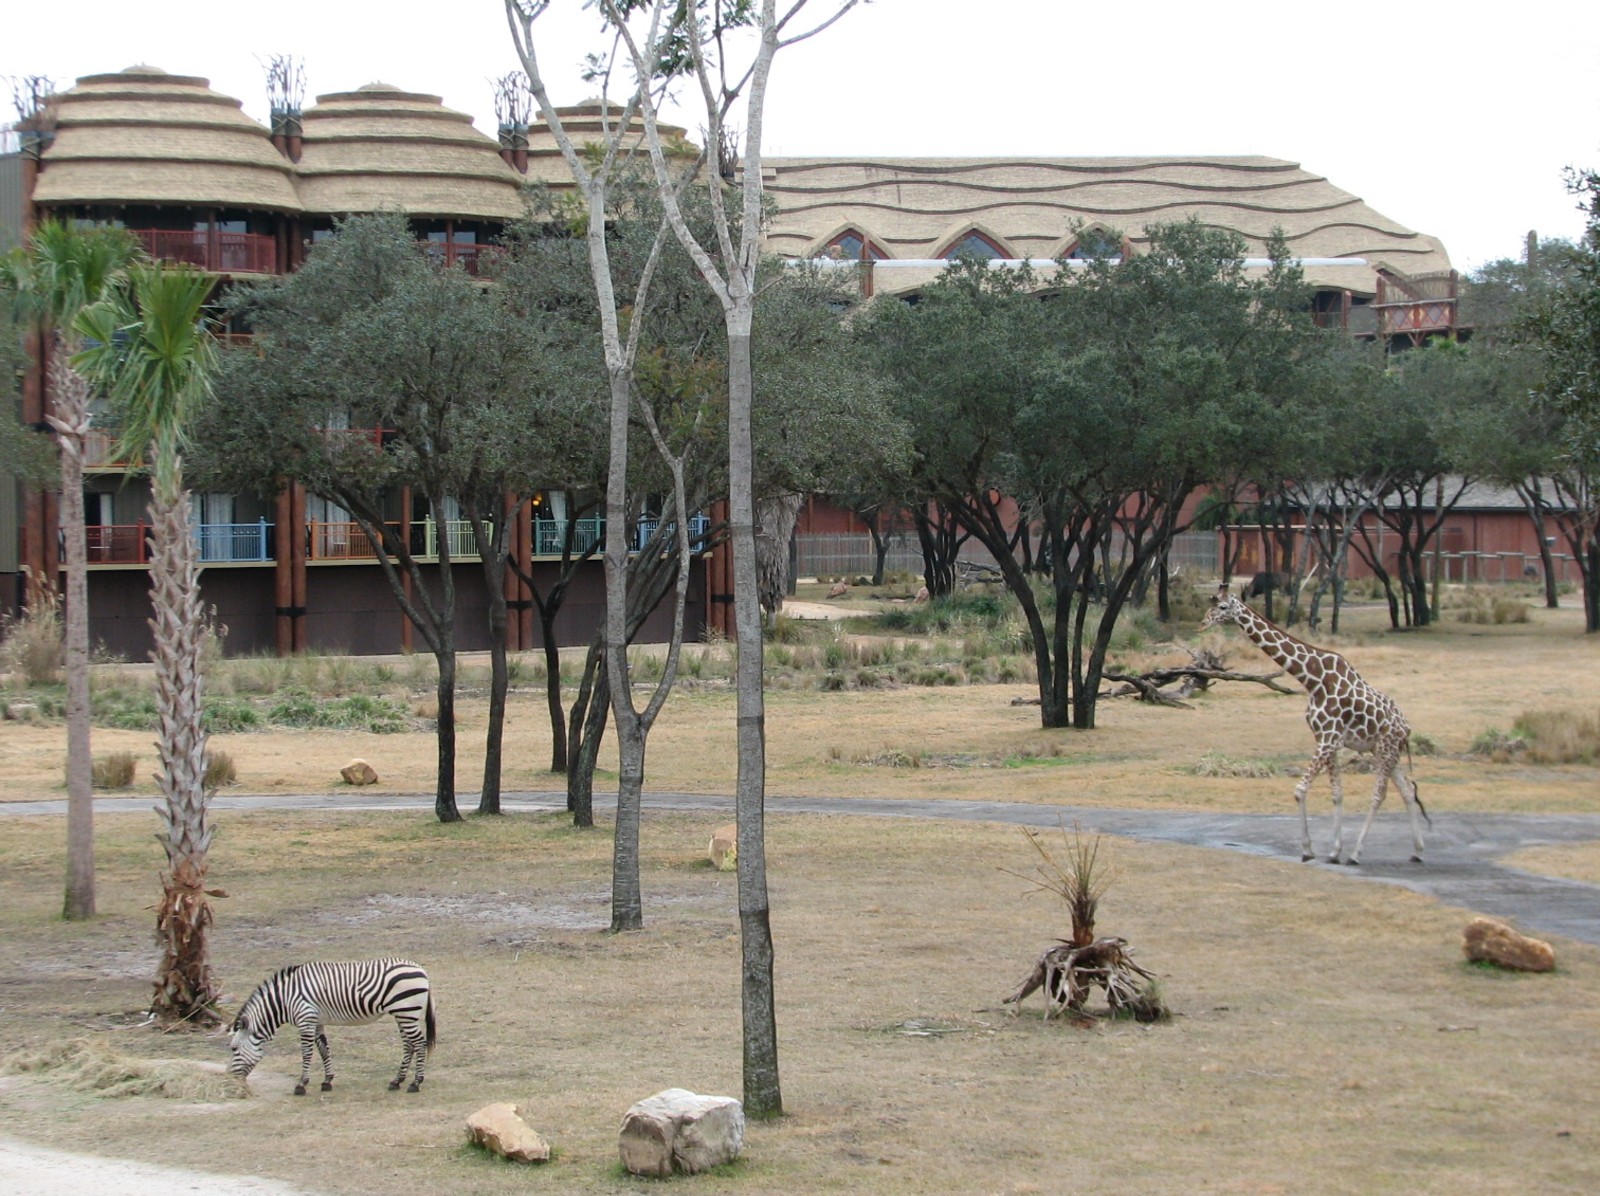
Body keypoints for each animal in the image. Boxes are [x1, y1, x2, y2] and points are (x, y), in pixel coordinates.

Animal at [228, 958, 435, 1095]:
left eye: (233, 1048)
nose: (232, 1078)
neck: (285, 1000)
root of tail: (422, 970)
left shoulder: (306, 1019)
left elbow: (307, 1053)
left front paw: (301, 1084)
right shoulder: (316, 1021)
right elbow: (323, 1049)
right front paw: (327, 1081)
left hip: (406, 1011)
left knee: (420, 1043)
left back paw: (416, 1083)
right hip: (403, 1013)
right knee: (409, 1045)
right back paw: (397, 1081)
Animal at [1199, 585, 1429, 865]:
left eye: (1222, 607)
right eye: (1211, 604)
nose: (1202, 623)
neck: (1313, 679)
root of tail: (1407, 728)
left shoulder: (1328, 739)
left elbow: (1300, 790)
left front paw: (1309, 850)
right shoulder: (1326, 738)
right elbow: (1337, 794)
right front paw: (1333, 851)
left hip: (1386, 748)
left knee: (1380, 795)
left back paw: (1356, 854)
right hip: (1384, 750)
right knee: (1407, 791)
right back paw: (1417, 851)